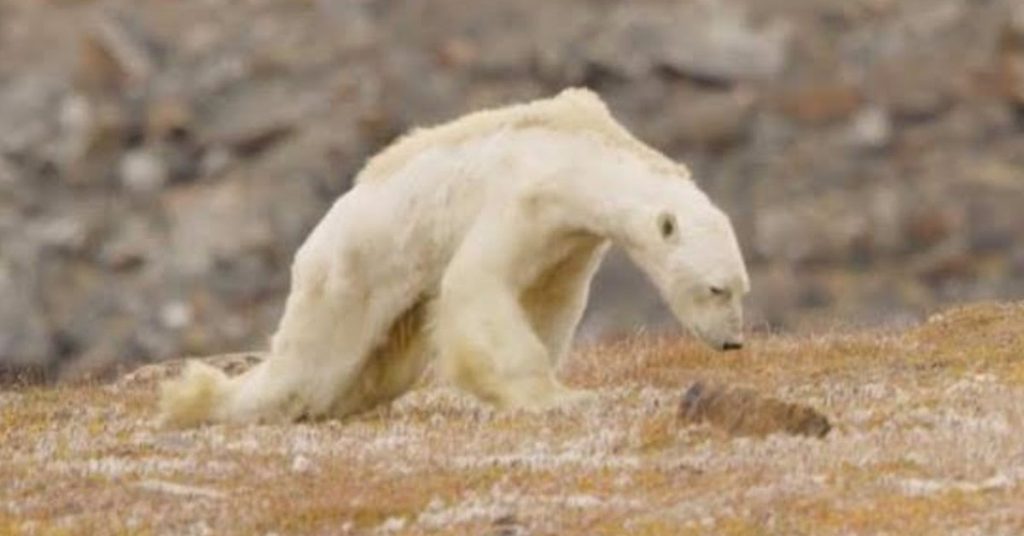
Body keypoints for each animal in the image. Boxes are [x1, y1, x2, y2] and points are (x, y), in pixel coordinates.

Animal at [159, 88, 750, 427]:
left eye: (740, 288)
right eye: (716, 288)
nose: (732, 342)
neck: (580, 154)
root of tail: (312, 245)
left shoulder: (570, 240)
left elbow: (550, 302)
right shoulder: (522, 198)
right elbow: (477, 283)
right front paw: (553, 397)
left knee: (378, 370)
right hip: (350, 273)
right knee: (310, 365)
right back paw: (199, 401)